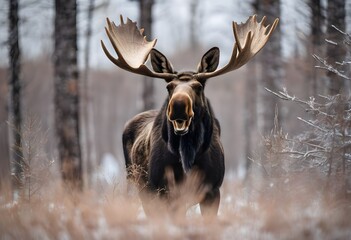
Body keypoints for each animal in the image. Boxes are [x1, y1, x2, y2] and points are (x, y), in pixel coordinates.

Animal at [102, 15, 280, 218]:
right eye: (169, 87)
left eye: (198, 86)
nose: (178, 106)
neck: (187, 155)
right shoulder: (163, 191)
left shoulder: (212, 190)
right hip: (137, 184)